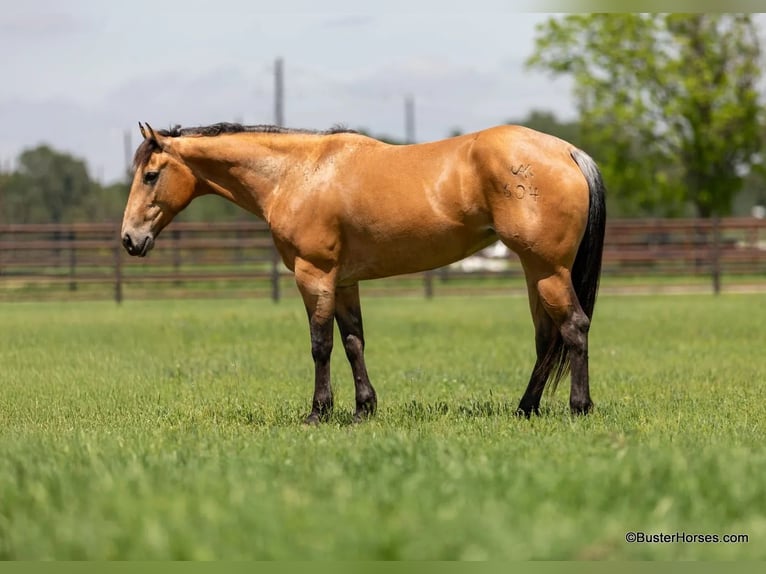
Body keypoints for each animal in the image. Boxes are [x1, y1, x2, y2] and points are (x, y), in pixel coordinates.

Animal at [121, 122, 606, 423]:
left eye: (150, 175)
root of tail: (567, 151)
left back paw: (578, 407)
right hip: (535, 270)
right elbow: (354, 342)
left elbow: (320, 345)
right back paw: (525, 409)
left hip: (547, 269)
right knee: (547, 338)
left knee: (575, 327)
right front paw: (362, 409)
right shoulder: (344, 281)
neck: (296, 174)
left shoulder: (313, 275)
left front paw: (318, 412)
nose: (129, 239)